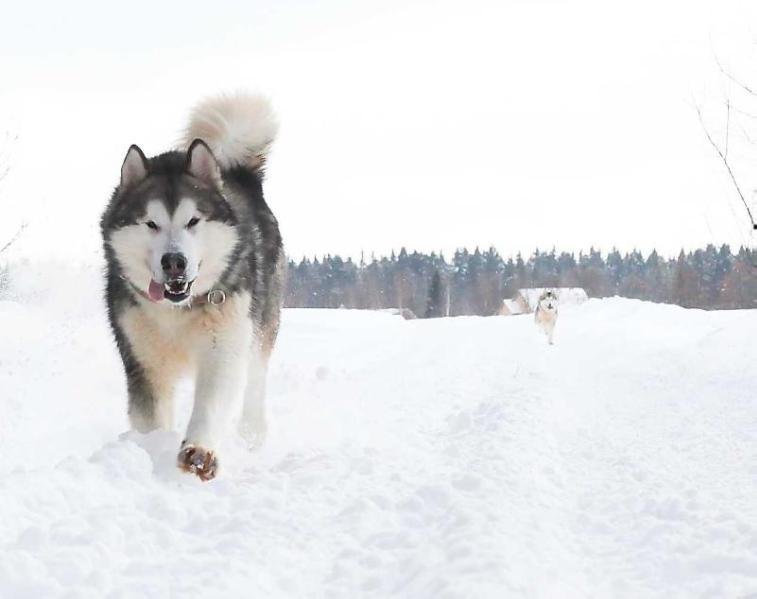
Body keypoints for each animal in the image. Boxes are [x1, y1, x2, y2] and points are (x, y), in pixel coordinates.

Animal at [102, 94, 284, 482]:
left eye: (193, 221)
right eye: (151, 223)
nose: (174, 261)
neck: (177, 311)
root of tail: (238, 175)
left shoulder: (225, 342)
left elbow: (212, 402)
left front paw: (199, 451)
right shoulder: (142, 359)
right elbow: (150, 416)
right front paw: (151, 450)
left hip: (262, 323)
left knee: (255, 379)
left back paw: (252, 432)